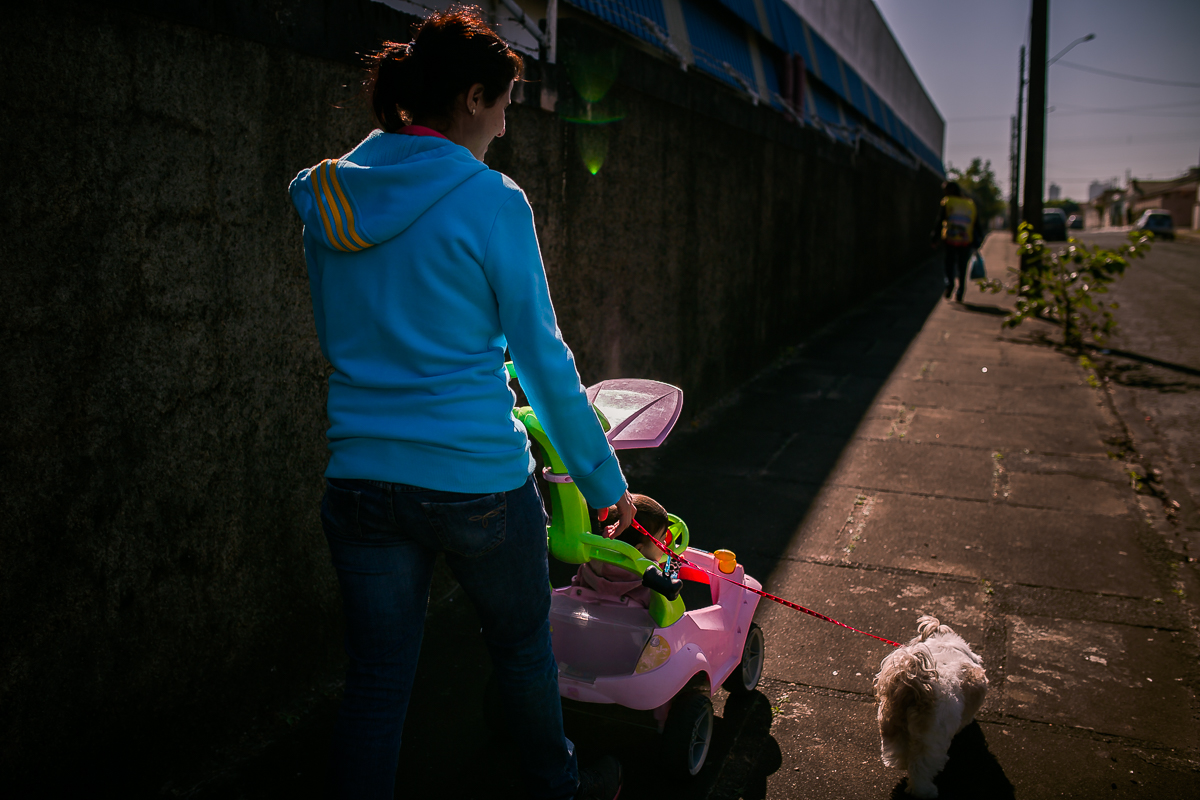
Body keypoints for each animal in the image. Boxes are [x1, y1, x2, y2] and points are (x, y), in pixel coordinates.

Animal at [874, 615, 988, 798]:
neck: (947, 646)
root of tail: (916, 687)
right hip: (932, 741)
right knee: (921, 768)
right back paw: (925, 791)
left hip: (891, 726)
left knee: (897, 752)